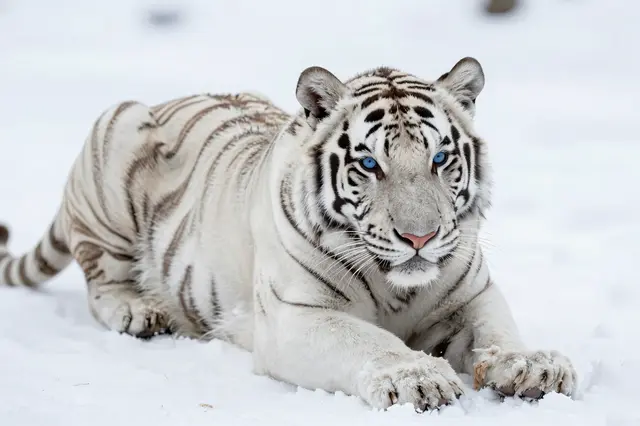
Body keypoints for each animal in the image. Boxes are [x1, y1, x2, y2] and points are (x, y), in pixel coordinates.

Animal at [0, 57, 577, 412]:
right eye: (370, 164)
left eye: (439, 159)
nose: (420, 237)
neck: (396, 286)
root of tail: (166, 100)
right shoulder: (295, 316)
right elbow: (369, 339)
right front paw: (416, 376)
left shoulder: (472, 296)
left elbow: (496, 332)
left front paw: (533, 367)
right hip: (117, 134)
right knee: (101, 281)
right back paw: (139, 311)